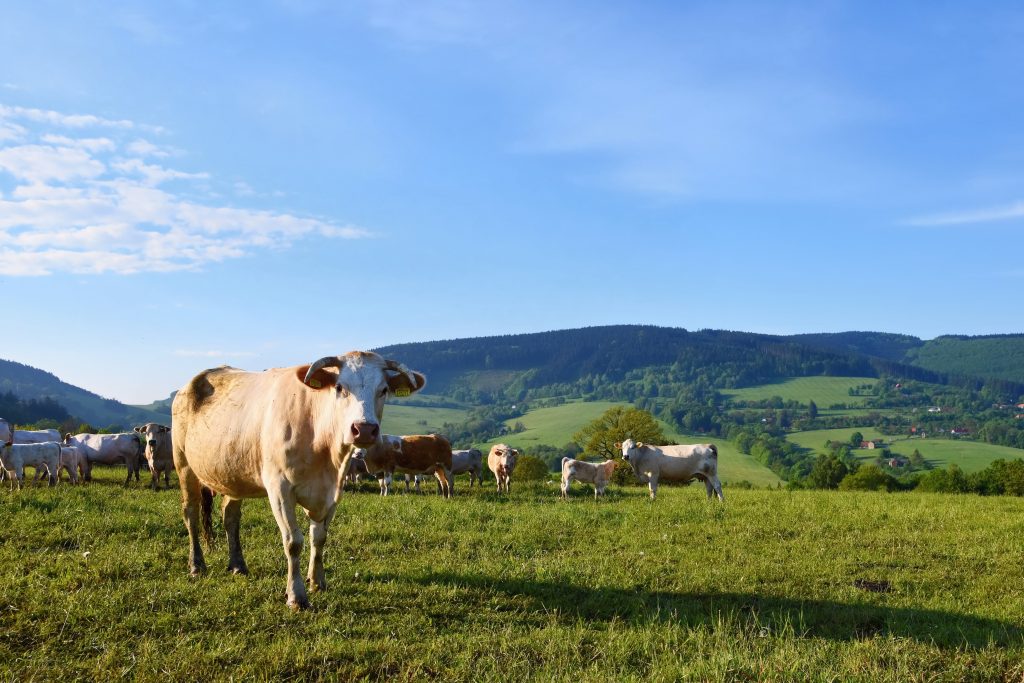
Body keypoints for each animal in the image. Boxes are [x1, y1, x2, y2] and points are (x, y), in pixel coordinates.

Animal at [171, 351, 426, 610]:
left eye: (383, 389)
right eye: (339, 387)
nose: (364, 429)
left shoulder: (332, 492)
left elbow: (319, 537)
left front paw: (317, 581)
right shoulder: (280, 490)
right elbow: (293, 541)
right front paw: (296, 595)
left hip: (233, 473)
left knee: (230, 517)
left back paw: (238, 565)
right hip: (184, 464)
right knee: (191, 514)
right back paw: (196, 565)